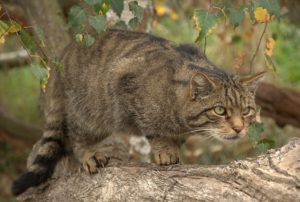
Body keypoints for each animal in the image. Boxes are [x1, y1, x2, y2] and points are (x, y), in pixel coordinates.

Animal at [11, 28, 264, 196]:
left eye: (246, 111)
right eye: (220, 110)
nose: (239, 129)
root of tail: (62, 57)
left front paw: (174, 146)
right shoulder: (125, 80)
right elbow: (154, 130)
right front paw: (165, 150)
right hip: (93, 112)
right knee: (75, 135)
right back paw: (89, 154)